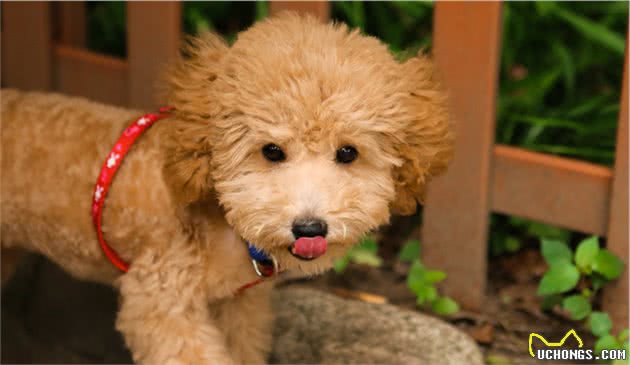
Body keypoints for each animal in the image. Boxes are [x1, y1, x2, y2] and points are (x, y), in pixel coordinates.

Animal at [0, 12, 454, 364]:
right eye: (271, 151)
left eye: (348, 152)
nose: (309, 228)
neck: (219, 216)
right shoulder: (161, 300)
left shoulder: (238, 306)